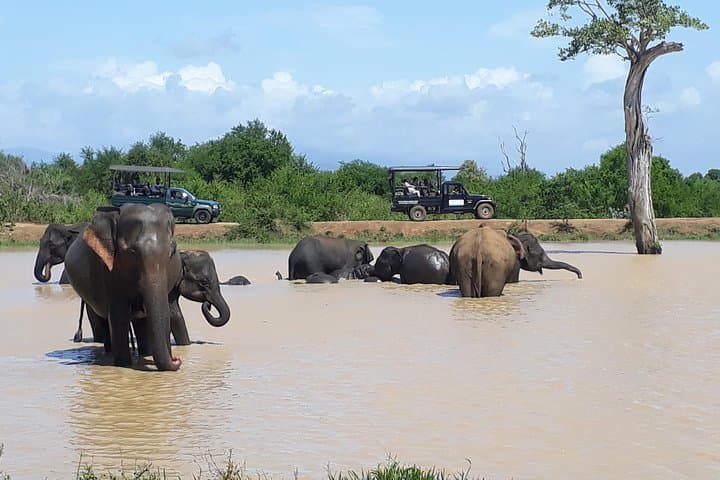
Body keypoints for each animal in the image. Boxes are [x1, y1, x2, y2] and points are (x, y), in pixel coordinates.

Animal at [64, 204, 184, 371]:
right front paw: (123, 365)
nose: (177, 359)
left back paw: (144, 353)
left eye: (172, 251)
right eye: (132, 252)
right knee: (103, 320)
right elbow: (119, 315)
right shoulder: (109, 270)